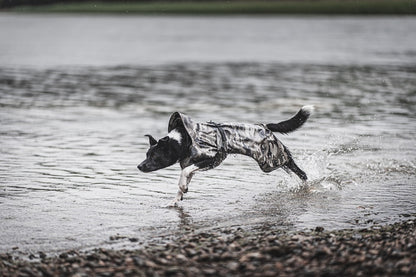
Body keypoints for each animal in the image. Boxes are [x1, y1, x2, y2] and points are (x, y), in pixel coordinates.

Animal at [138, 105, 314, 205]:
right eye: (146, 154)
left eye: (154, 156)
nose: (139, 166)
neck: (183, 139)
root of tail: (265, 126)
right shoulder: (192, 163)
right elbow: (184, 178)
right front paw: (176, 198)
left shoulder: (212, 159)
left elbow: (184, 173)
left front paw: (181, 188)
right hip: (272, 160)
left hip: (273, 159)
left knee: (300, 172)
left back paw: (307, 185)